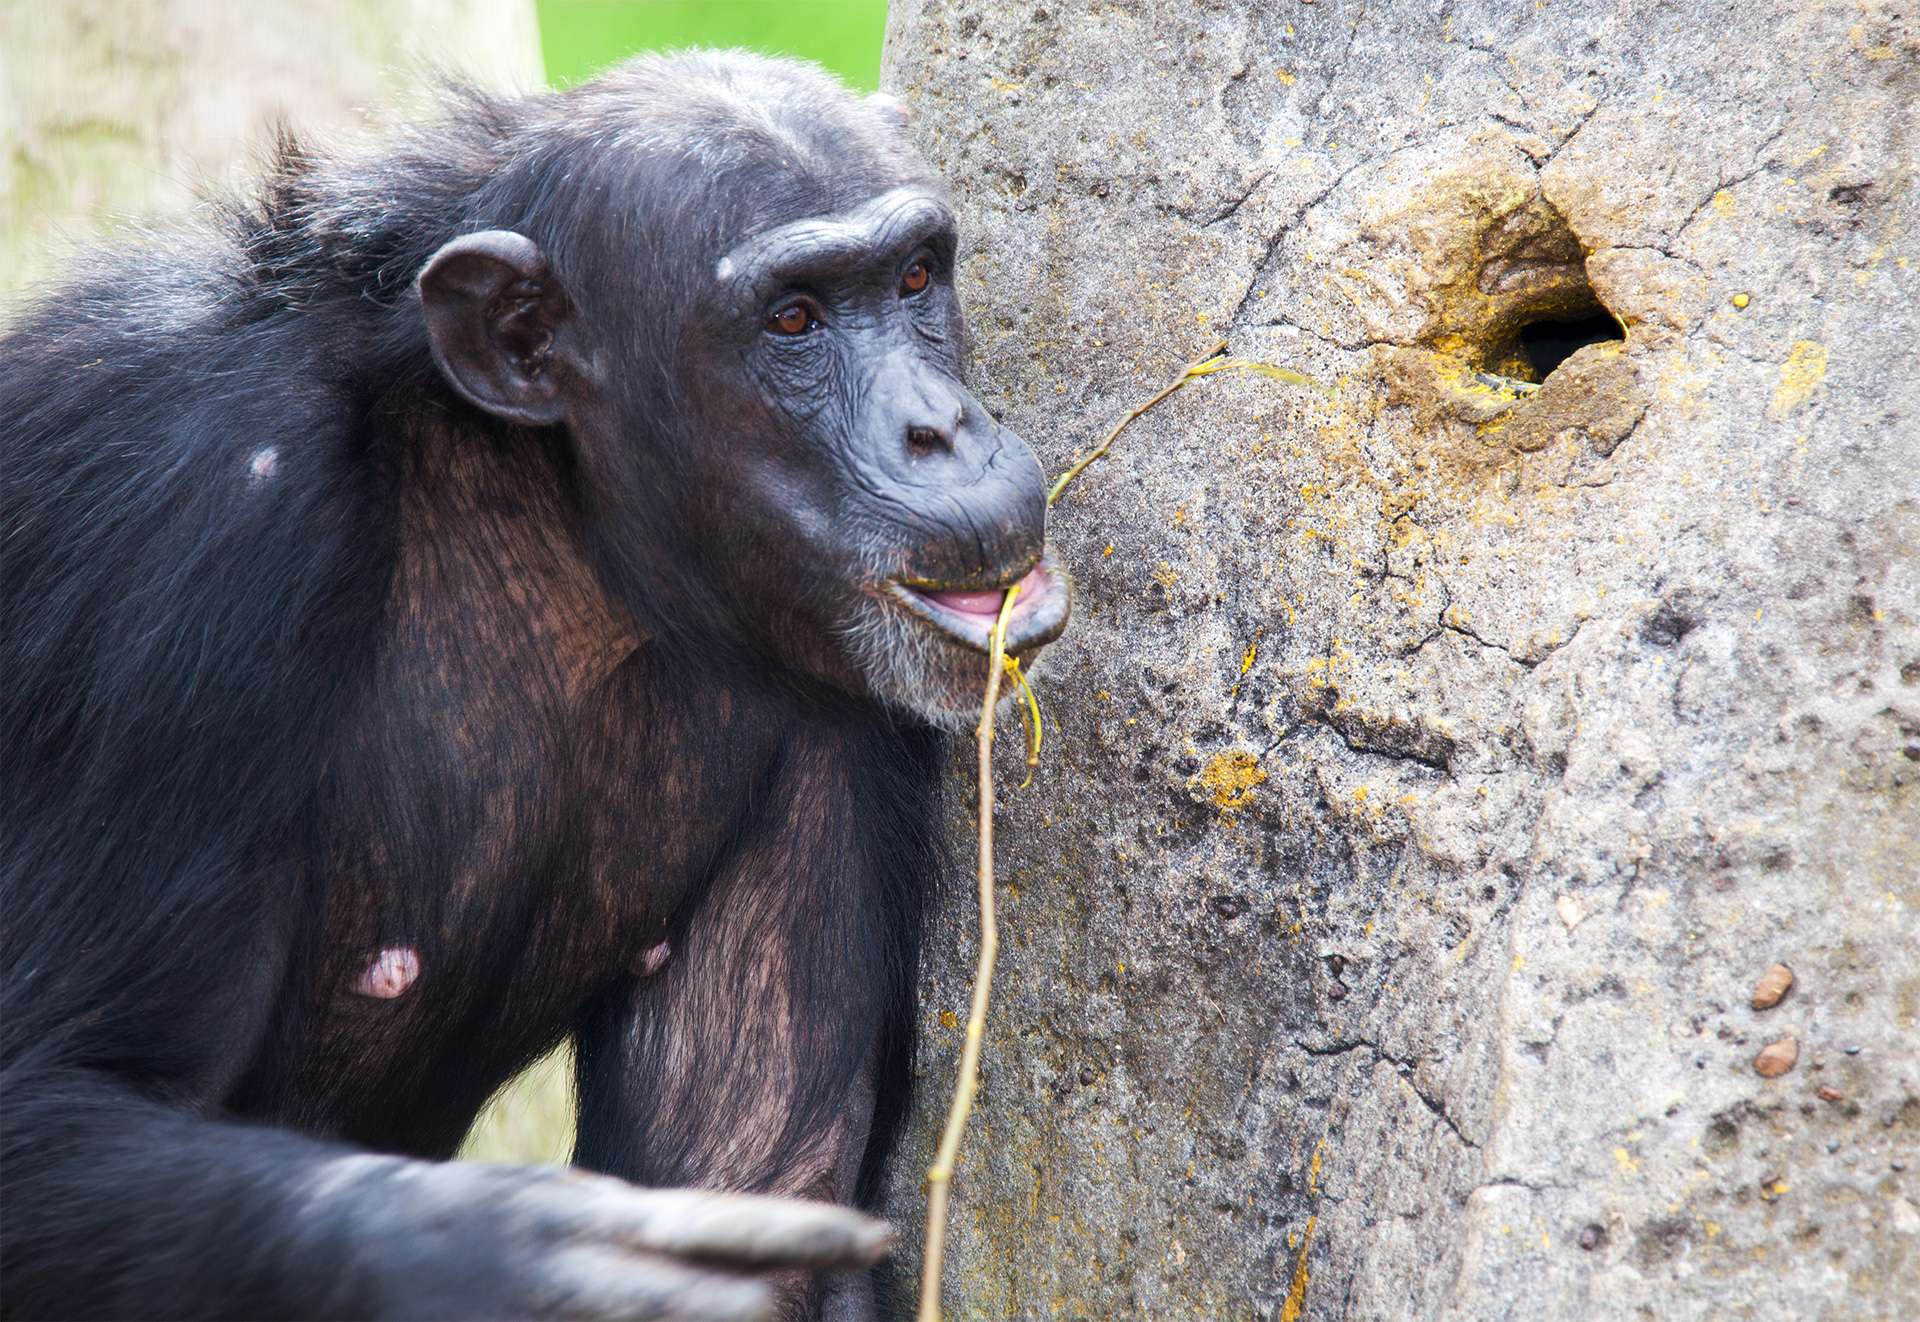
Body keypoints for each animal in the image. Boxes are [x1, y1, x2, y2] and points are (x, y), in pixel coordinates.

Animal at [0, 46, 1067, 1312]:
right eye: (794, 318)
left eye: (913, 278)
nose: (940, 428)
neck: (559, 512)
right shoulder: (194, 520)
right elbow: (50, 1093)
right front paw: (516, 1252)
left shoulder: (845, 713)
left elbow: (759, 1160)